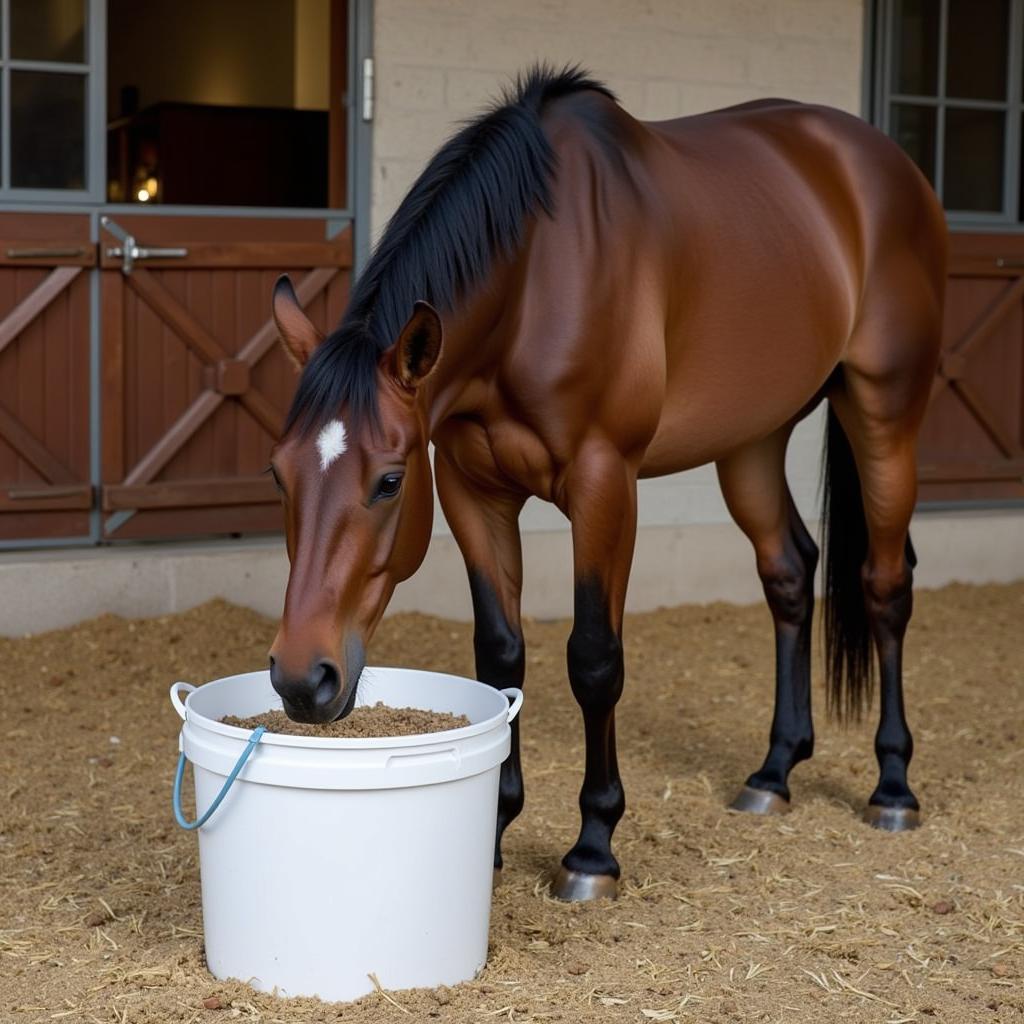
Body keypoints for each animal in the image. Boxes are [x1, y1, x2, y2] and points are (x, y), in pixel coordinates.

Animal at [264, 66, 942, 897]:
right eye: (279, 473)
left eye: (389, 481)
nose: (303, 679)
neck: (537, 277)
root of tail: (887, 165)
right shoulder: (470, 488)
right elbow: (501, 657)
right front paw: (494, 828)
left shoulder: (604, 483)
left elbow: (594, 658)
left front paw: (592, 845)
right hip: (752, 441)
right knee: (789, 572)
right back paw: (774, 772)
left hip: (884, 415)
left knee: (885, 582)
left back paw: (893, 786)